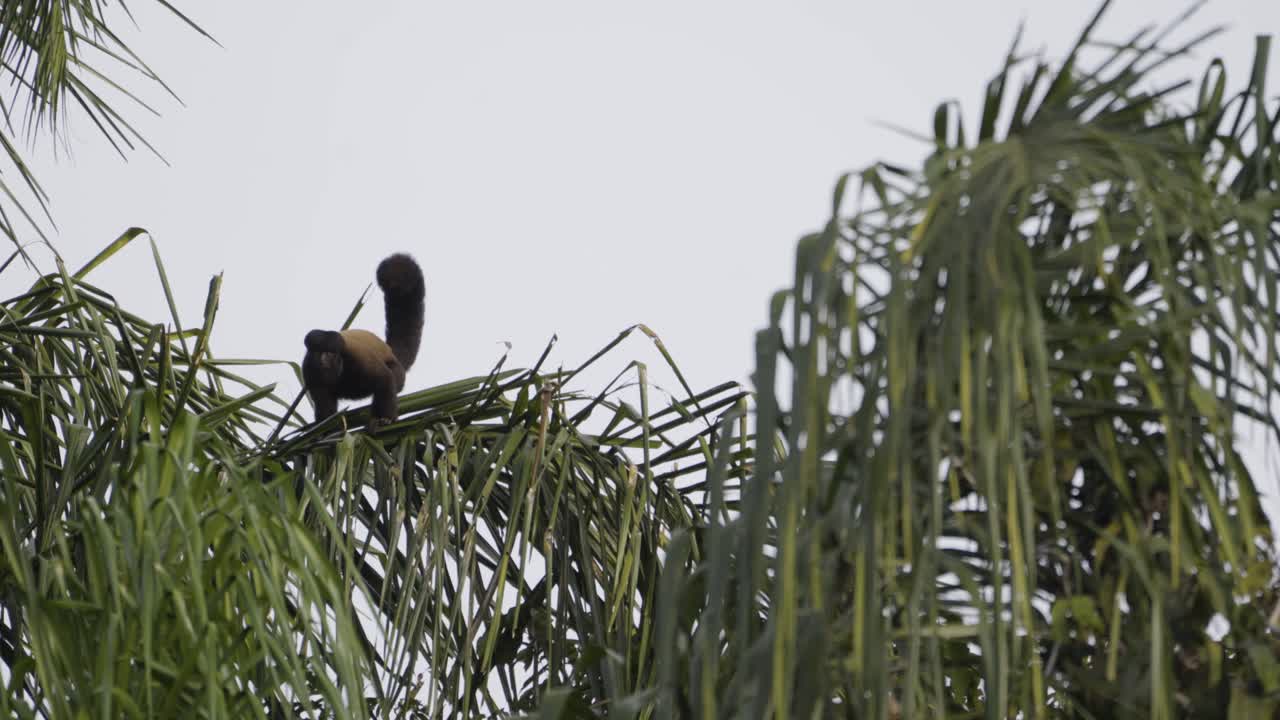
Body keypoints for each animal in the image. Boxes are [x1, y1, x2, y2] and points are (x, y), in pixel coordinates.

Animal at [302, 253, 425, 428]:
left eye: (331, 353)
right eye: (320, 352)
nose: (325, 357)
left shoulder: (357, 357)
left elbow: (384, 379)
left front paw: (385, 418)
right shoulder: (309, 372)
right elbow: (324, 406)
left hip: (397, 370)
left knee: (392, 378)